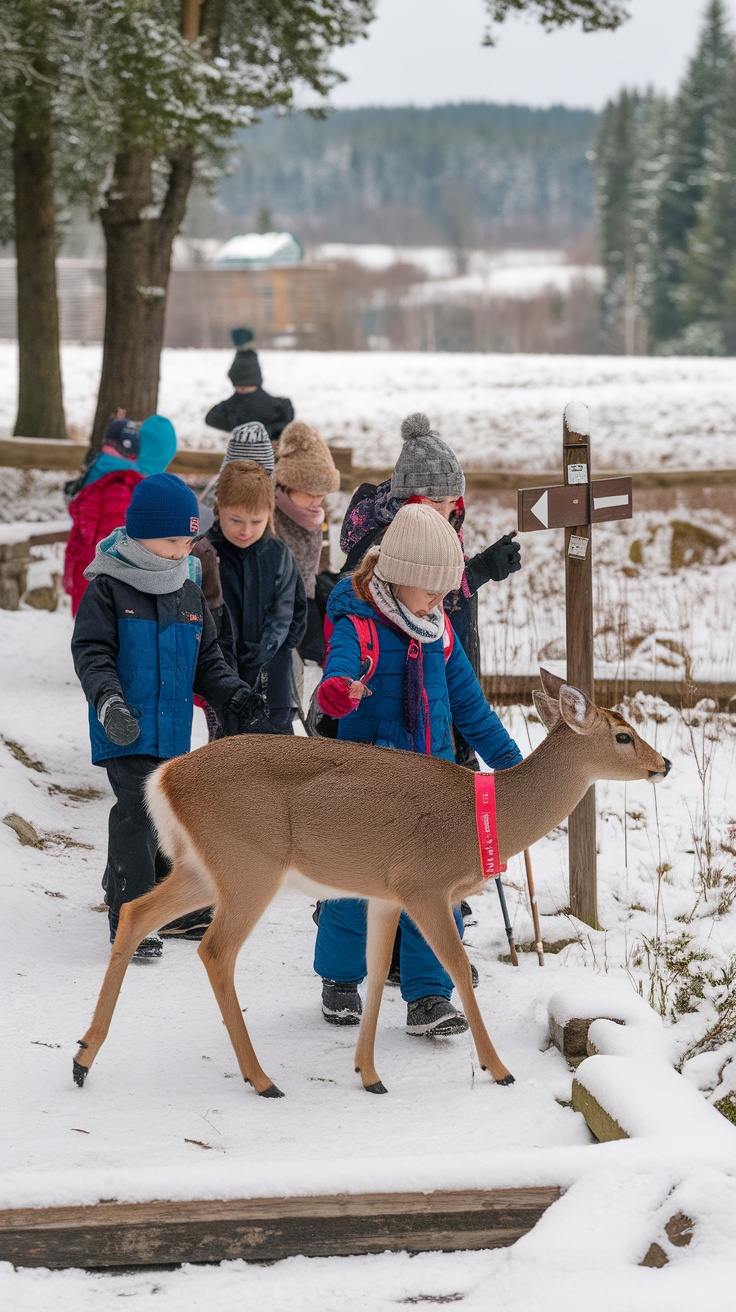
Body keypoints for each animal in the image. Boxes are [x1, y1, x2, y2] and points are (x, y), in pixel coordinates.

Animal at [71, 666, 669, 1096]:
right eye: (623, 735)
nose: (662, 763)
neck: (485, 817)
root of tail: (163, 776)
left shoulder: (385, 893)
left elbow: (379, 969)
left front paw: (370, 1075)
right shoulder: (425, 883)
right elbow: (456, 966)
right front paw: (498, 1068)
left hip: (203, 867)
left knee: (136, 913)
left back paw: (82, 1057)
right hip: (248, 864)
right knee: (215, 950)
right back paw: (261, 1079)